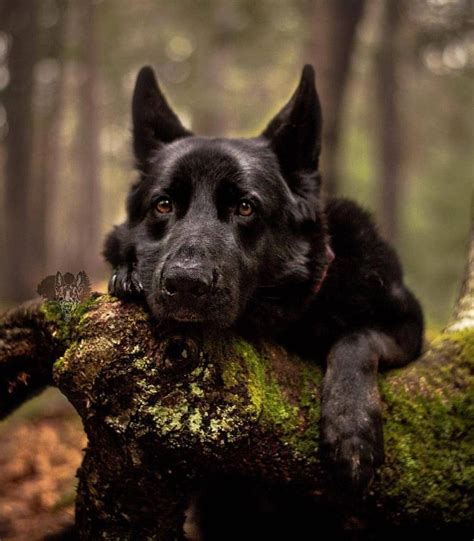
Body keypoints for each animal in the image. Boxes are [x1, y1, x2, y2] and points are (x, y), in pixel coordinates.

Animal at [103, 65, 422, 500]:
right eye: (163, 204)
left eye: (245, 207)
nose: (185, 283)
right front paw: (127, 273)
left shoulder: (409, 326)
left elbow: (357, 339)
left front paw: (351, 431)